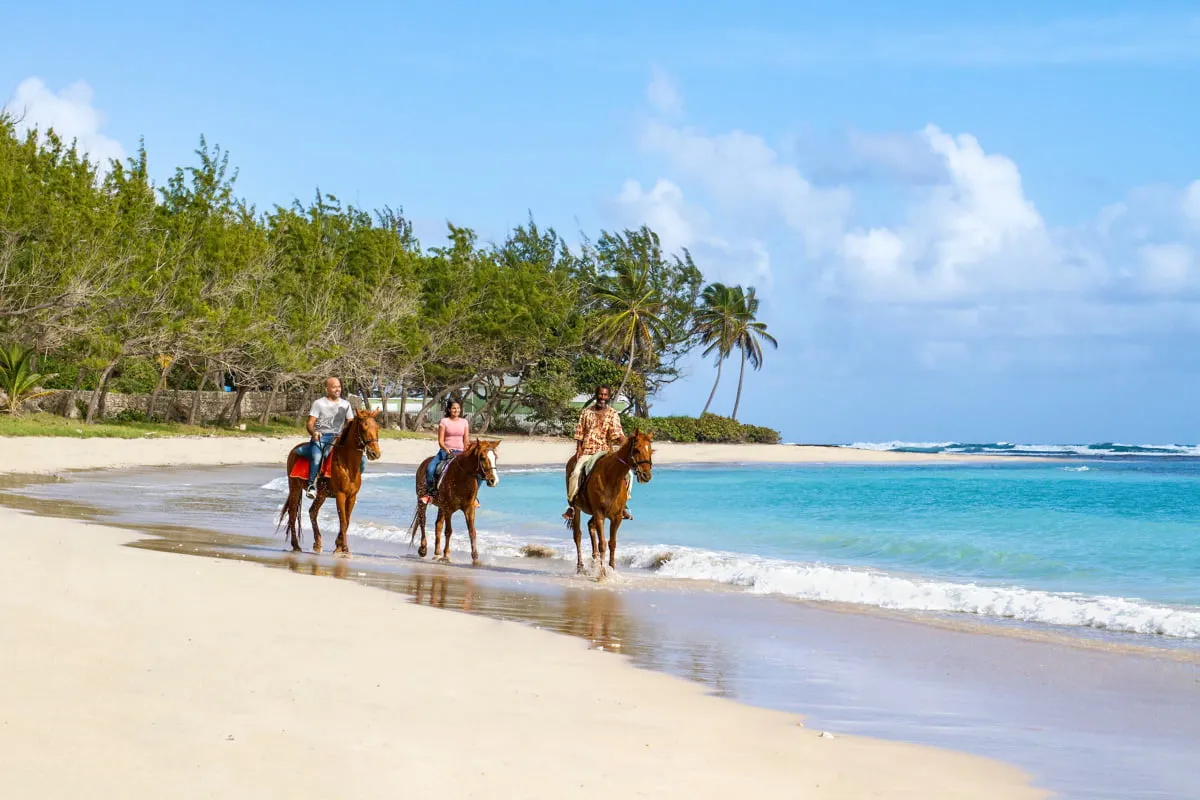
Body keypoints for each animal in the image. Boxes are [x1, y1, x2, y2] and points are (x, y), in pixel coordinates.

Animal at [278, 410, 382, 556]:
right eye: (363, 427)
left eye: (377, 427)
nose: (375, 453)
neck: (347, 465)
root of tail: (295, 449)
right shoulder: (340, 495)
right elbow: (343, 520)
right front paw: (344, 548)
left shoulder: (351, 497)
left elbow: (347, 520)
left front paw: (338, 546)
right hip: (294, 487)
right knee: (293, 514)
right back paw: (296, 545)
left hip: (321, 494)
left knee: (312, 512)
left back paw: (317, 543)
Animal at [565, 430, 654, 579]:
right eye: (636, 450)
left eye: (651, 451)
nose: (646, 475)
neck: (612, 477)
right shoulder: (600, 514)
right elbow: (603, 544)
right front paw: (603, 573)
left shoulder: (616, 517)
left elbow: (612, 543)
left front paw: (611, 569)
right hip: (577, 508)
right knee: (577, 535)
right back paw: (581, 567)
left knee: (590, 526)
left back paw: (594, 562)